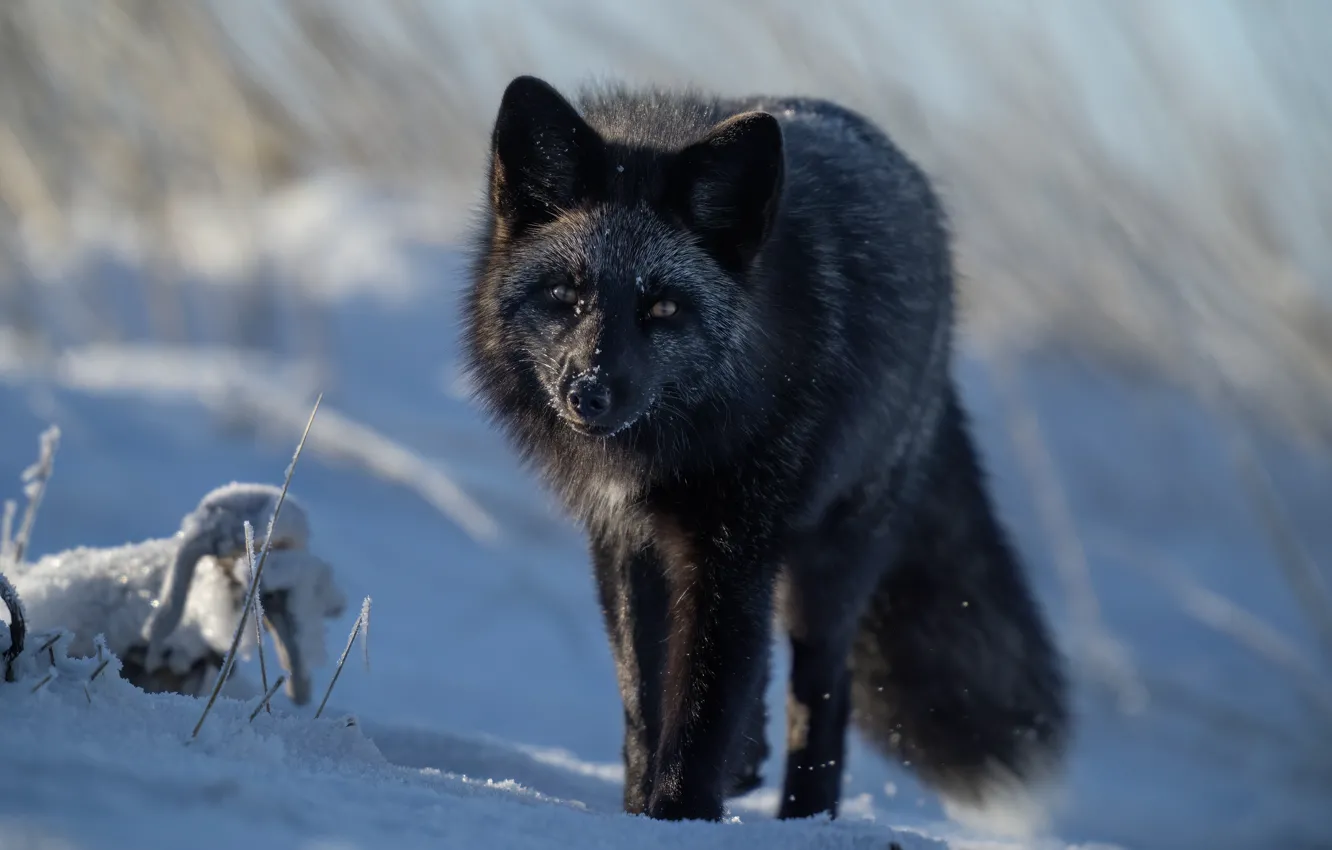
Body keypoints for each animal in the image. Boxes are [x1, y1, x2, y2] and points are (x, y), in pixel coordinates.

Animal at [463, 74, 1065, 826]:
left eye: (663, 309)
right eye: (564, 295)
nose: (589, 393)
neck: (670, 450)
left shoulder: (734, 549)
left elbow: (701, 713)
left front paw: (679, 816)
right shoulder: (625, 541)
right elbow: (645, 702)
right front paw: (639, 810)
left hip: (831, 568)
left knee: (824, 689)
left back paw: (808, 815)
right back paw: (752, 764)